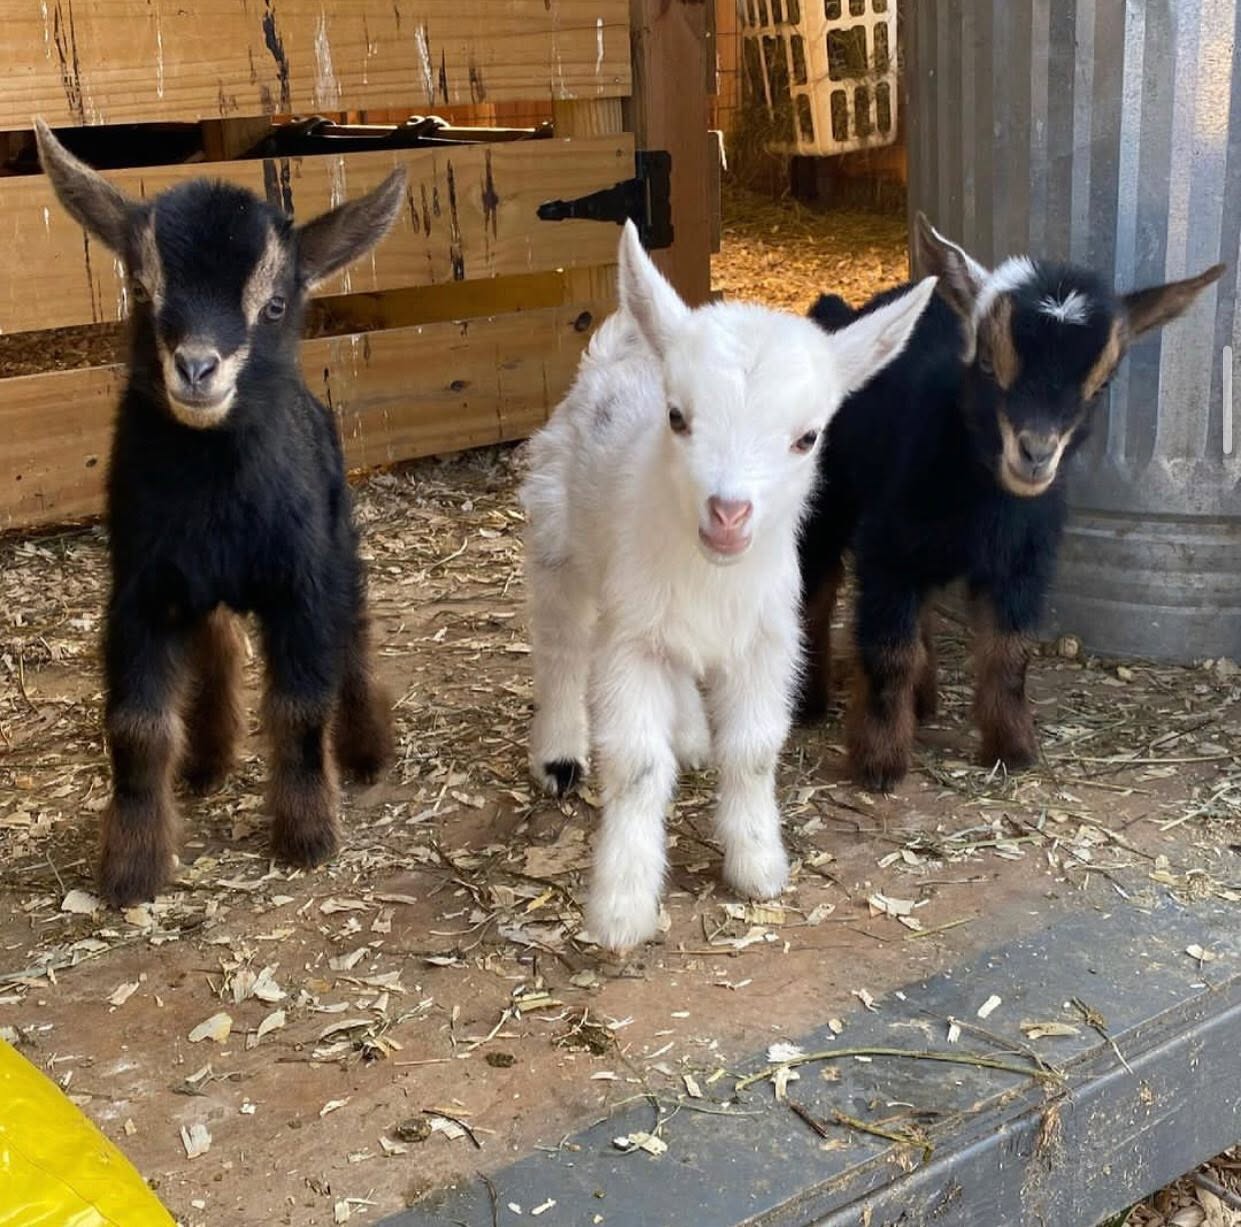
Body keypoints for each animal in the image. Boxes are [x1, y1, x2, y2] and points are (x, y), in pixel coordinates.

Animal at [36, 120, 405, 906]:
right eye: (142, 289)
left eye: (274, 305)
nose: (197, 368)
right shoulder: (139, 591)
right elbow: (136, 728)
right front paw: (134, 866)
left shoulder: (300, 580)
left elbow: (300, 706)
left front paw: (307, 834)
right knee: (218, 643)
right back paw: (206, 760)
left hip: (339, 537)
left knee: (354, 632)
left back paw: (365, 749)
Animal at [521, 221, 937, 950]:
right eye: (677, 417)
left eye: (807, 437)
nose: (728, 514)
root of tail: (616, 351)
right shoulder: (633, 640)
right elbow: (637, 767)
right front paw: (621, 909)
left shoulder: (767, 640)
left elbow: (752, 751)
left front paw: (756, 865)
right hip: (556, 533)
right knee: (562, 643)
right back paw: (561, 755)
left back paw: (689, 734)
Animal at [797, 212, 1224, 791]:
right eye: (986, 363)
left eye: (1099, 386)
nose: (1035, 454)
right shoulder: (886, 551)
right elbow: (888, 652)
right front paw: (879, 762)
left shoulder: (1025, 562)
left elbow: (1009, 652)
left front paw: (1013, 746)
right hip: (830, 498)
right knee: (816, 589)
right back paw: (808, 702)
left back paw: (924, 702)